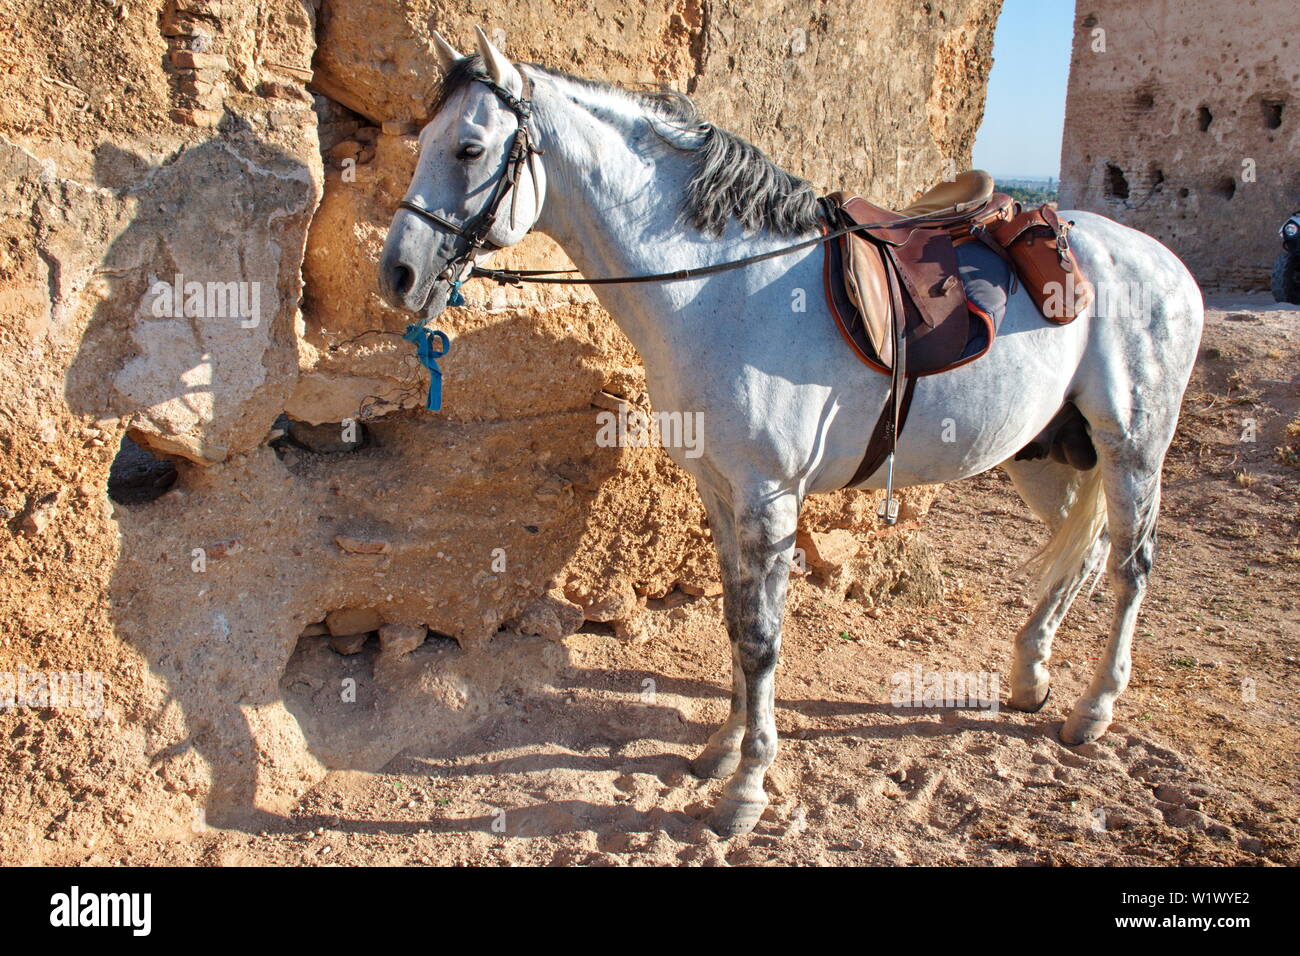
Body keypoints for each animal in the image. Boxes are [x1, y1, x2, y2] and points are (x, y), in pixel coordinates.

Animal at [379, 27, 1206, 837]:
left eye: (470, 148)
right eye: (423, 141)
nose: (396, 274)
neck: (723, 287)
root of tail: (1161, 261)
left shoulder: (770, 497)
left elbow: (762, 638)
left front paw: (745, 789)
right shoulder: (720, 493)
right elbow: (735, 622)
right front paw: (722, 749)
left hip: (1132, 449)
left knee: (1132, 568)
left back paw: (1093, 709)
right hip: (1044, 454)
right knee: (1083, 553)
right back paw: (1030, 678)